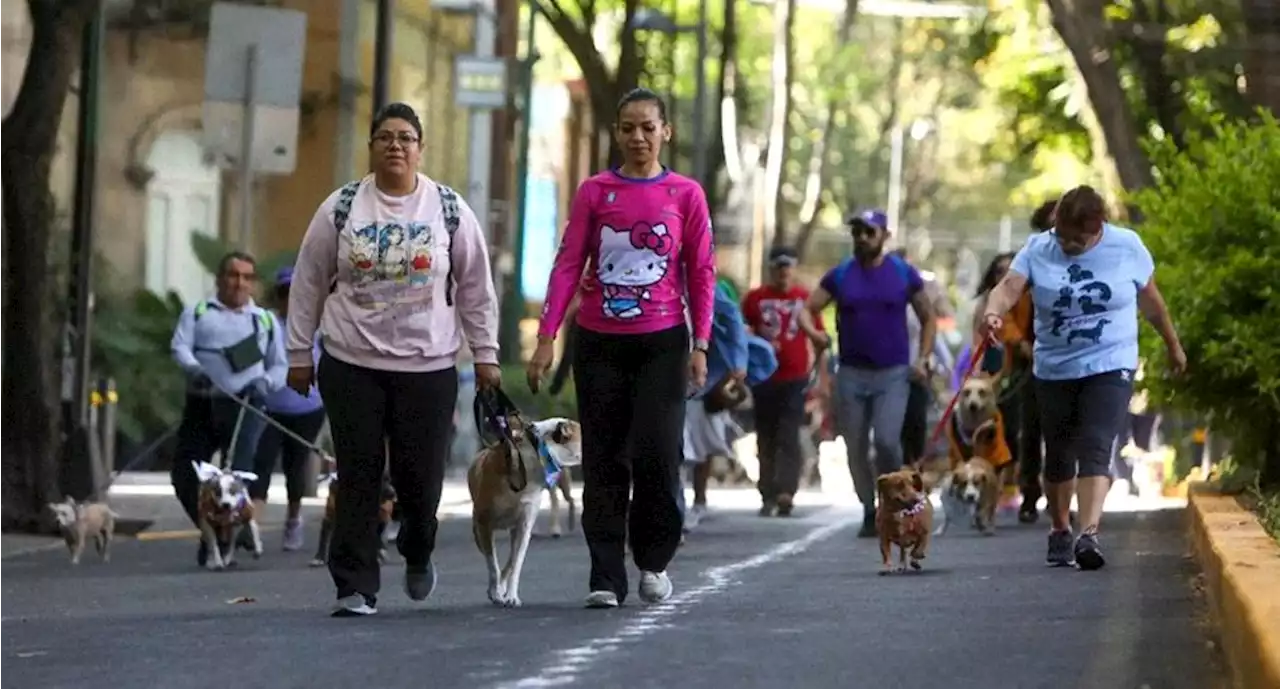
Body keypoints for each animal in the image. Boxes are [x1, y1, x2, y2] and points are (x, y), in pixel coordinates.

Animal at [468, 414, 583, 604]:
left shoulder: (525, 524)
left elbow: (516, 564)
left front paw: (511, 595)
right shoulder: (483, 523)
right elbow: (492, 564)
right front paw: (495, 592)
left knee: (512, 557)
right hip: (478, 528)